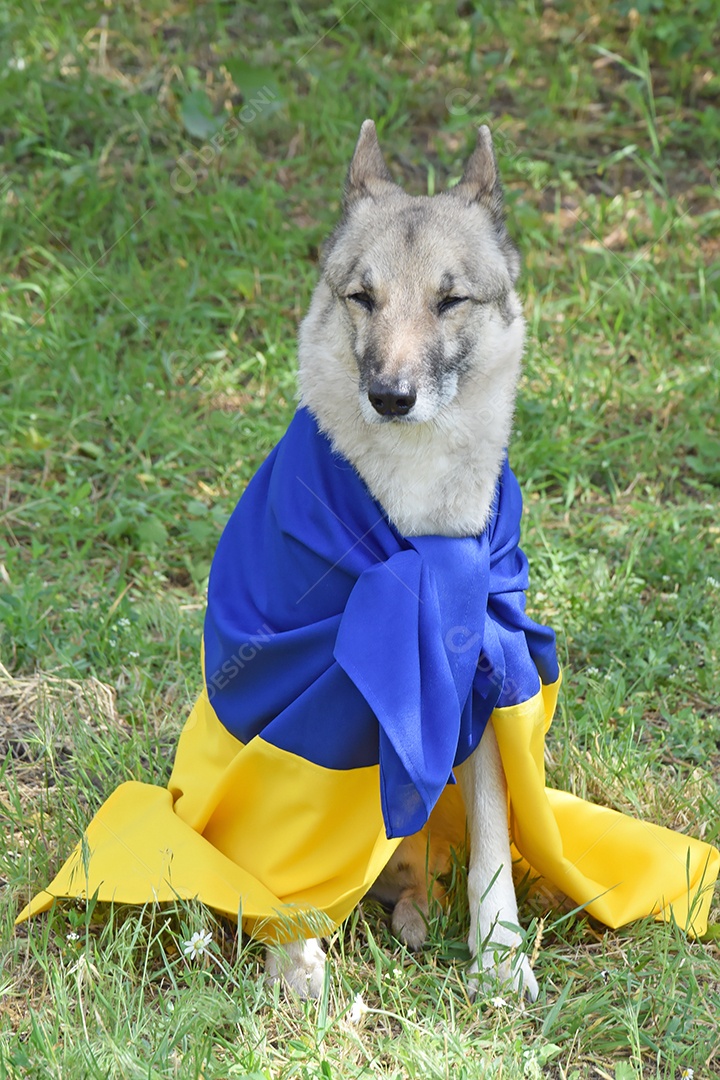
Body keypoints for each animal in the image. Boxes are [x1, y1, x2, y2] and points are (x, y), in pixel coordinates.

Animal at [264, 122, 539, 997]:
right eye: (363, 297)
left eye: (450, 300)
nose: (390, 397)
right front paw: (295, 962)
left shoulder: (482, 668)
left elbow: (491, 831)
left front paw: (499, 954)